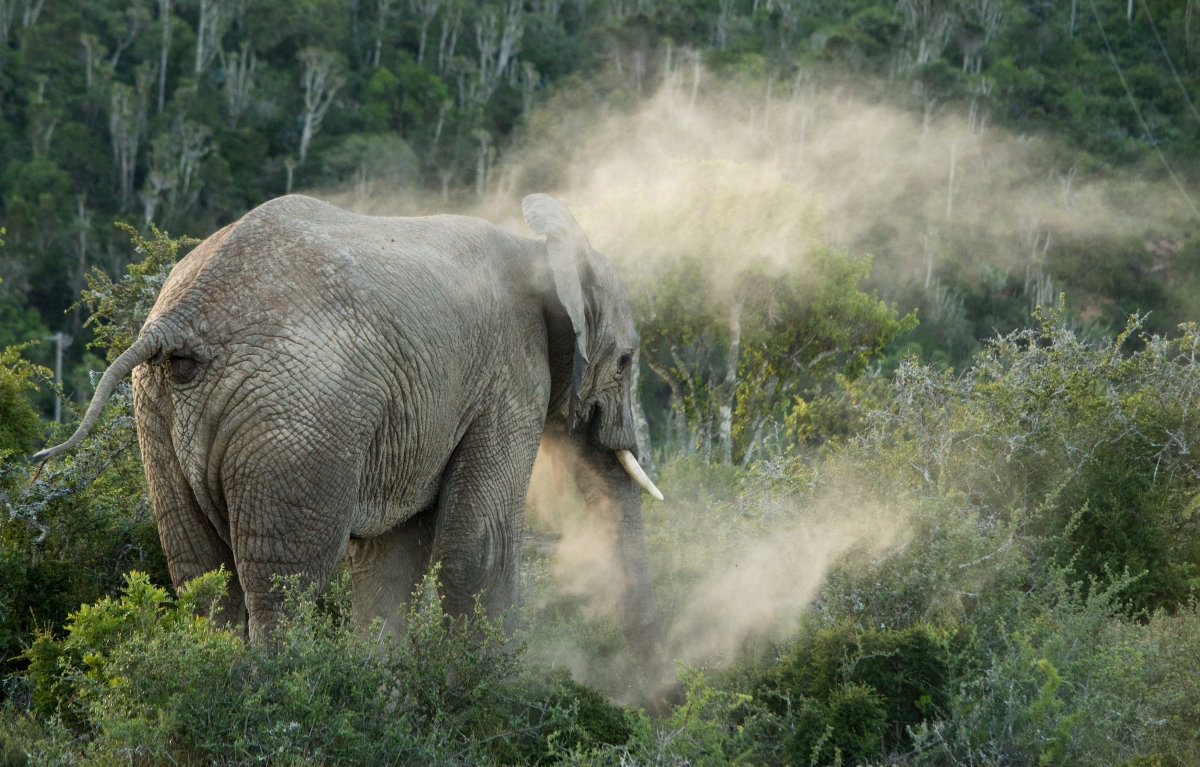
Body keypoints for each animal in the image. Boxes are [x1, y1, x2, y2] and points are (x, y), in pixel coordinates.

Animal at [32, 193, 667, 667]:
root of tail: (182, 318)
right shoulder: (510, 377)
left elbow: (390, 559)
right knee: (284, 587)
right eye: (627, 361)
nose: (656, 703)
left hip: (158, 418)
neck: (541, 251)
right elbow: (477, 551)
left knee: (202, 581)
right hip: (297, 420)